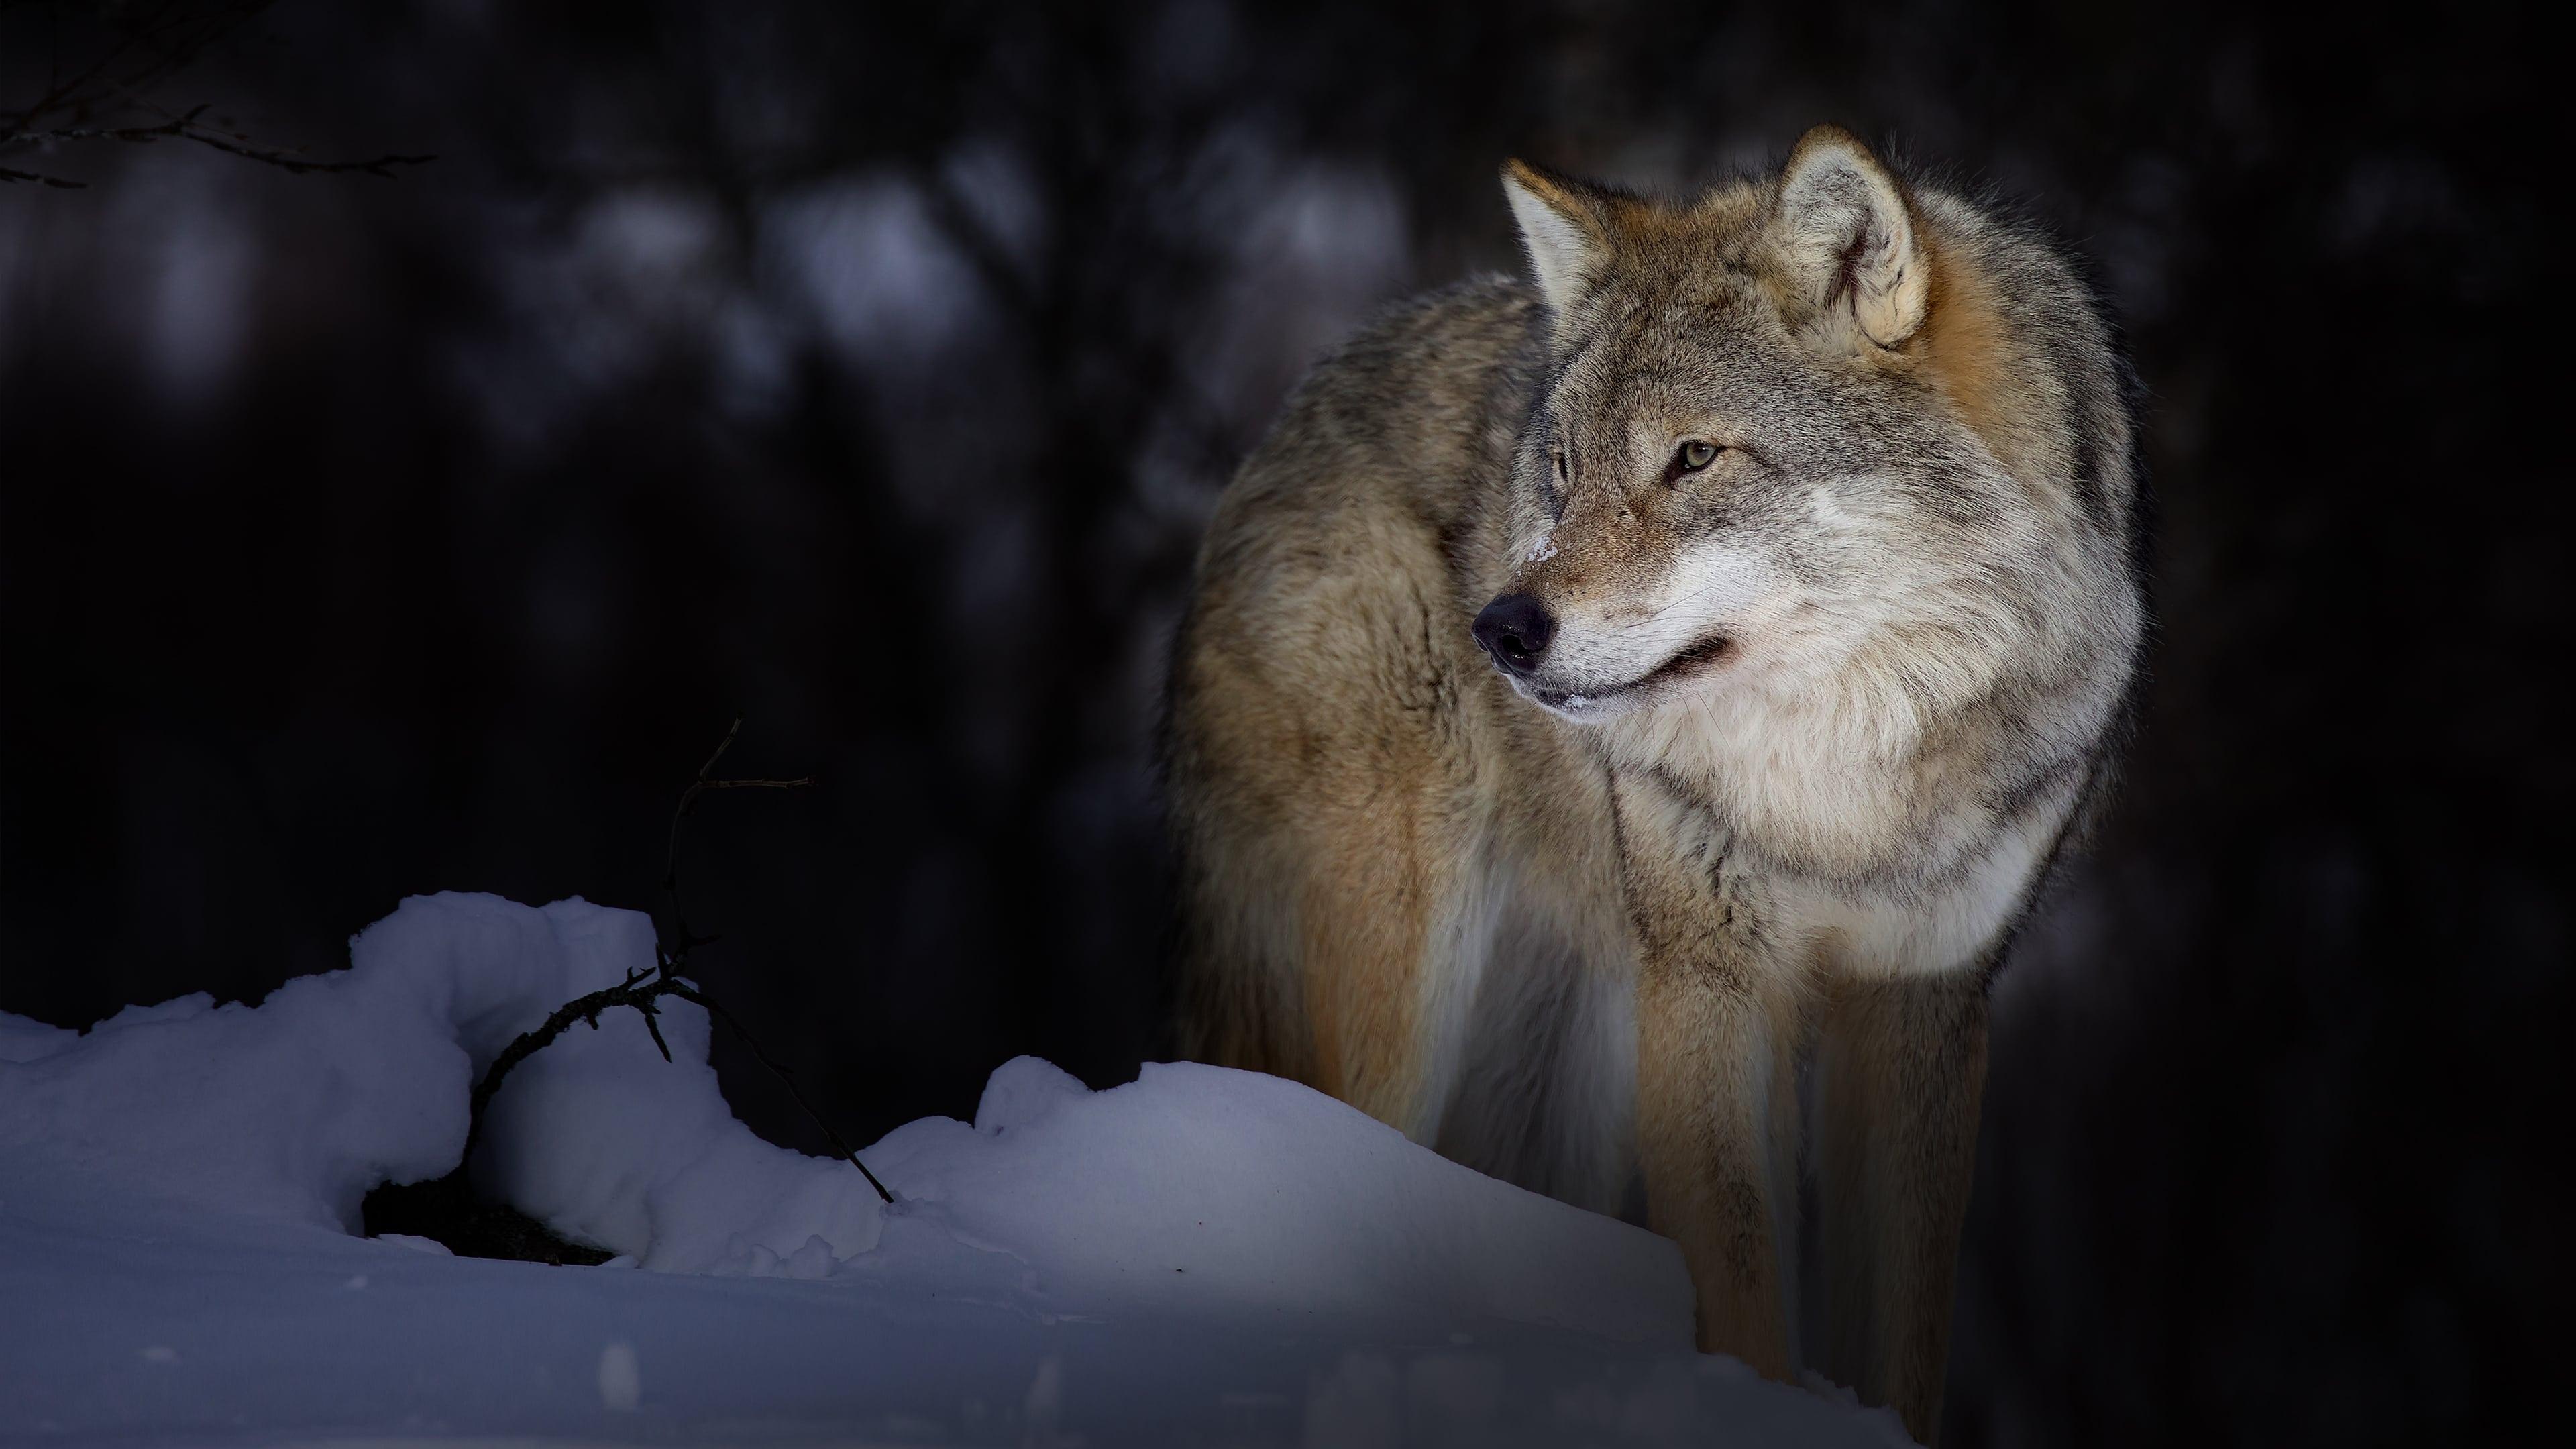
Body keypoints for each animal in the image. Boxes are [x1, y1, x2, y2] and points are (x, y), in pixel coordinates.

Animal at [1164, 129, 2133, 1433]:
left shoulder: (1923, 1006)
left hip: (1567, 1051)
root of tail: (1280, 430)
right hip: (1410, 983)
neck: (1840, 802)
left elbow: (1903, 1339)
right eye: (1564, 469)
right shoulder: (1709, 985)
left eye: (1694, 458)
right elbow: (1744, 1282)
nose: (1502, 628)